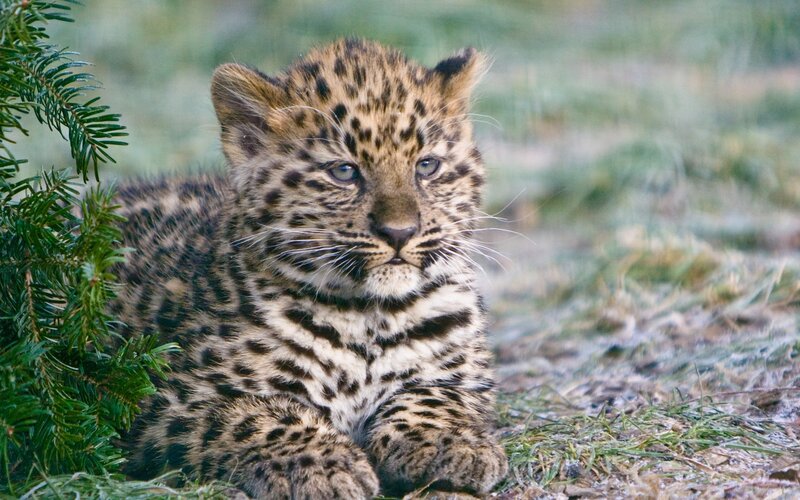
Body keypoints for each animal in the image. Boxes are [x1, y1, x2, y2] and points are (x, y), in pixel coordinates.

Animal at [113, 38, 508, 499]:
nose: (400, 232)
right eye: (344, 172)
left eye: (426, 166)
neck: (369, 317)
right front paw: (322, 464)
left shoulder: (462, 376)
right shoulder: (161, 397)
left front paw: (446, 442)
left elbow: (434, 395)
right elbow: (257, 414)